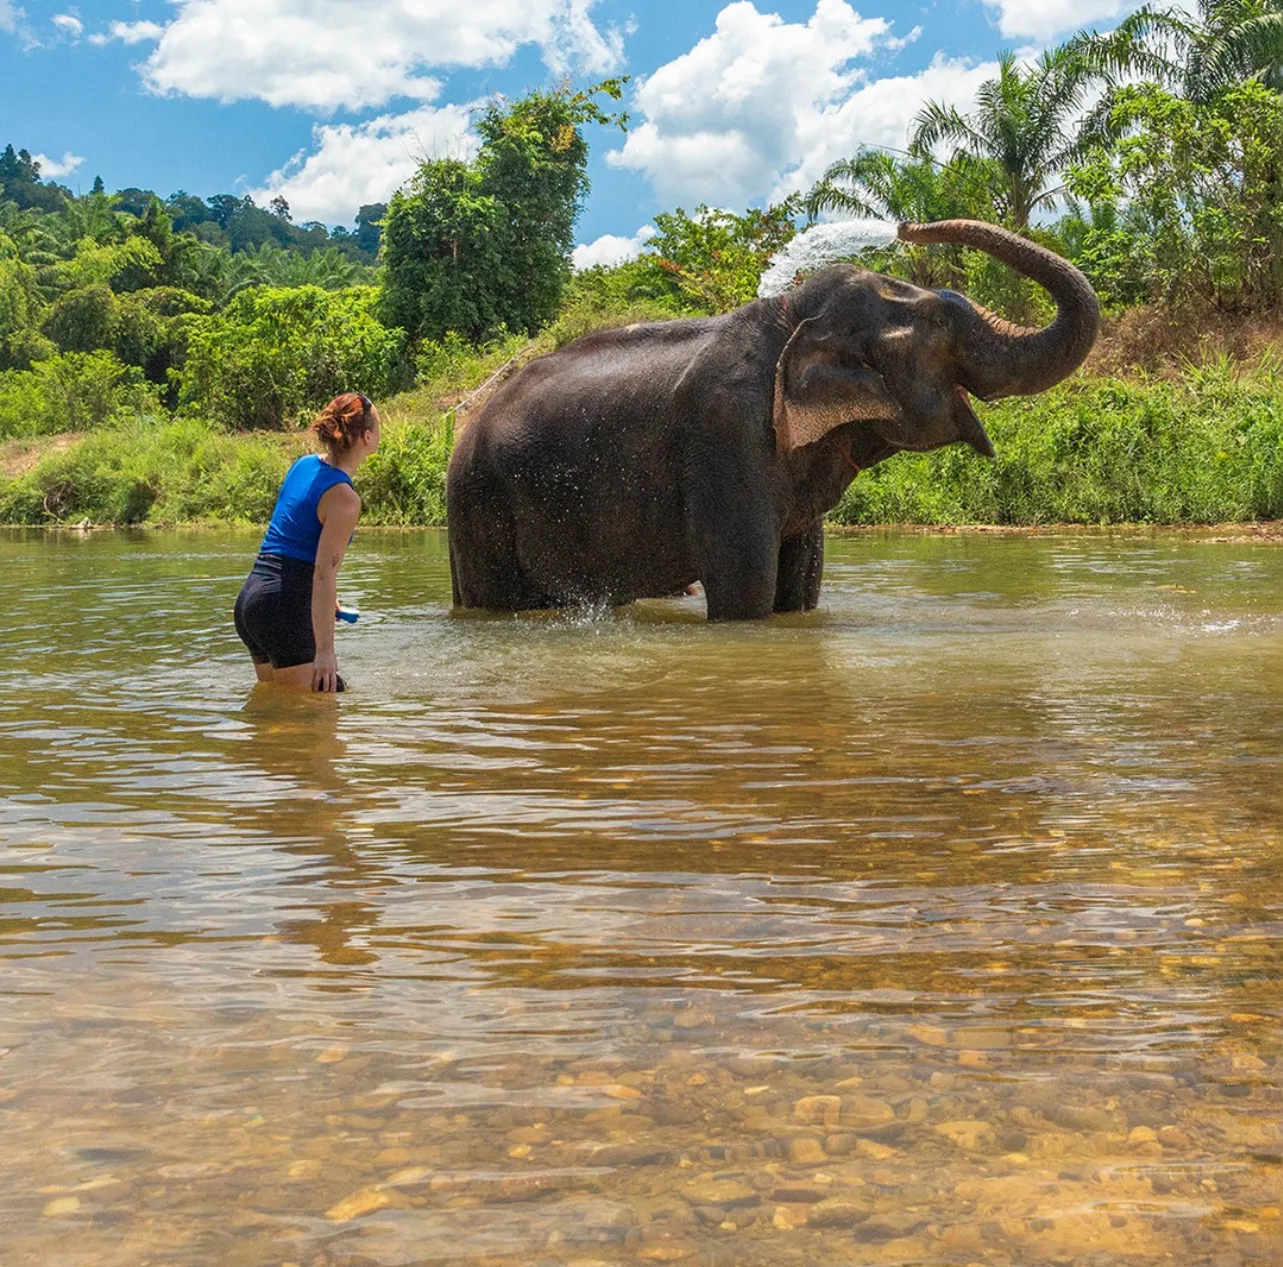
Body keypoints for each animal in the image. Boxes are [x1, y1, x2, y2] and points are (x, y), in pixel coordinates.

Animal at [446, 219, 1098, 623]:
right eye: (937, 325)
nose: (907, 226)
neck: (791, 316)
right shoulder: (726, 436)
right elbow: (745, 590)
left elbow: (800, 585)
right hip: (478, 505)